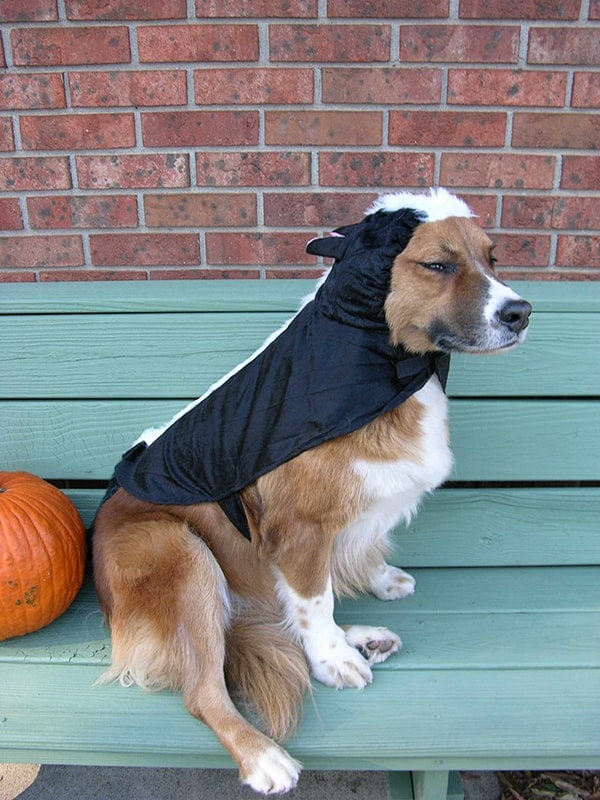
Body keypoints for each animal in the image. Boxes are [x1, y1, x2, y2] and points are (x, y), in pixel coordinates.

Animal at [92, 188, 528, 792]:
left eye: (492, 259)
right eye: (437, 265)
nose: (520, 312)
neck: (386, 368)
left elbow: (348, 563)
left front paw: (375, 582)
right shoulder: (299, 530)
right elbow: (314, 601)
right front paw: (330, 659)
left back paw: (363, 636)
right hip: (180, 552)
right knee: (203, 690)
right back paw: (263, 755)